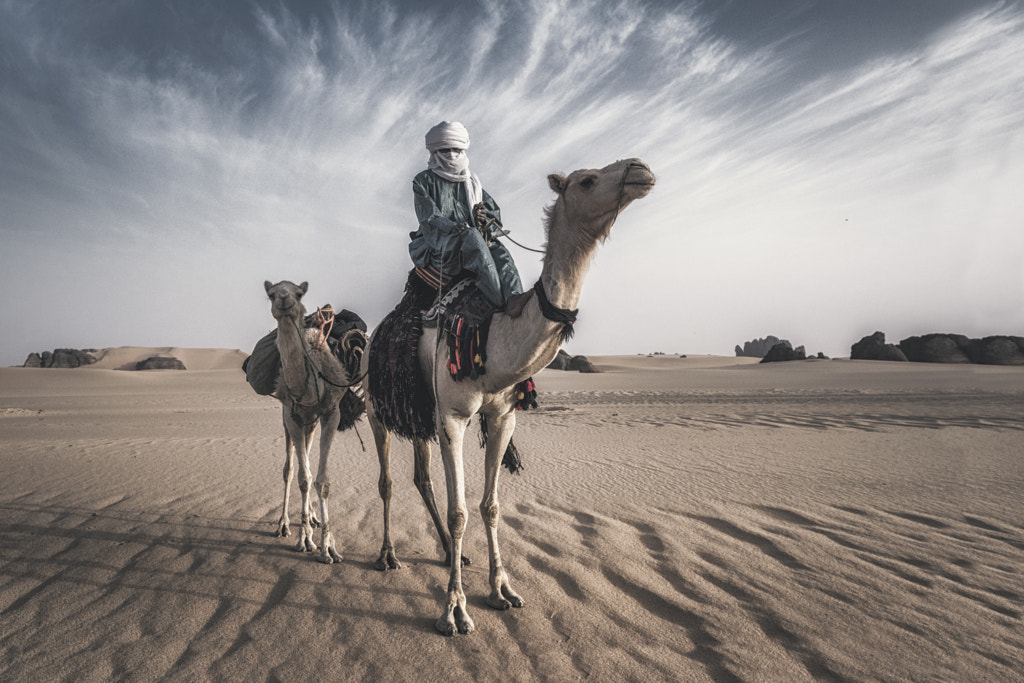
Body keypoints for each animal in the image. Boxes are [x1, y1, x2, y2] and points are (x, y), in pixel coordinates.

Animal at [266, 278, 366, 565]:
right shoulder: (291, 416)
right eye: (271, 294)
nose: (284, 299)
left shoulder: (331, 413)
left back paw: (311, 517)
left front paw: (328, 547)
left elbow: (322, 481)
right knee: (291, 469)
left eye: (299, 293)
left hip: (311, 422)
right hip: (291, 420)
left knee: (309, 460)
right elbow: (301, 477)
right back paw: (285, 524)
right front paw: (305, 541)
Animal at [364, 157, 655, 634]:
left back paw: (451, 553)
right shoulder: (453, 418)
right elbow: (460, 511)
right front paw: (454, 609)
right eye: (588, 180)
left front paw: (502, 589)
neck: (495, 333)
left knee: (421, 478)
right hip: (376, 408)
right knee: (387, 479)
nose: (641, 169)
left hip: (420, 412)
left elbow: (490, 506)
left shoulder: (502, 416)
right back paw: (388, 556)